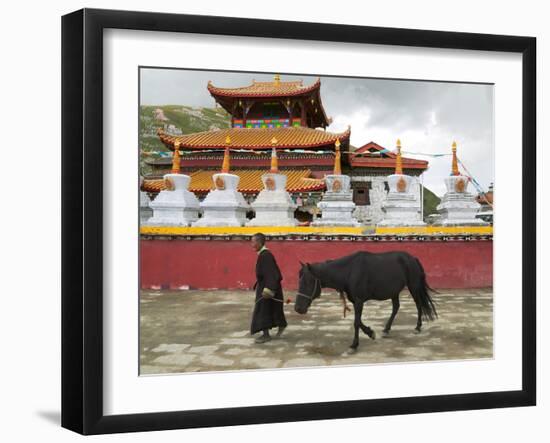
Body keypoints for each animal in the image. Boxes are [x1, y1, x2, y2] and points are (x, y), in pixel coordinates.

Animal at [296, 251, 438, 352]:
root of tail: (413, 258)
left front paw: (354, 345)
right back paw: (386, 330)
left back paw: (417, 327)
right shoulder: (355, 301)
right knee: (396, 307)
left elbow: (356, 322)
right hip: (394, 291)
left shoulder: (359, 301)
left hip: (413, 286)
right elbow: (359, 322)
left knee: (418, 305)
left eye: (308, 282)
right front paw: (370, 333)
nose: (298, 308)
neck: (350, 271)